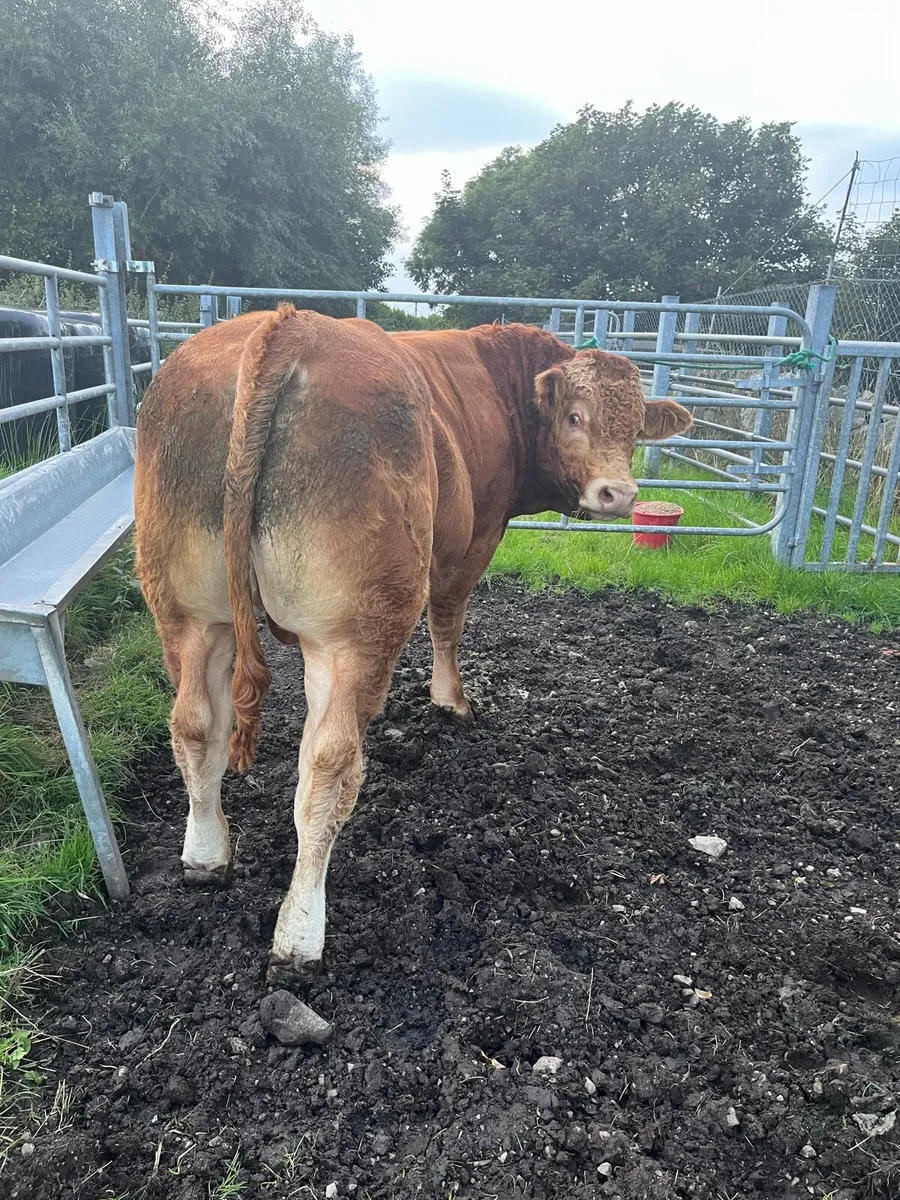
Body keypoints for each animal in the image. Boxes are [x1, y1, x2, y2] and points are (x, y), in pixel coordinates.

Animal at [134, 306, 691, 985]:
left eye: (635, 427)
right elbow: (448, 619)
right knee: (327, 767)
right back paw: (300, 933)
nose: (620, 494)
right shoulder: (472, 540)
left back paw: (206, 855)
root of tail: (287, 325)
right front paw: (451, 702)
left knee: (195, 726)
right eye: (575, 416)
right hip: (353, 635)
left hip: (189, 614)